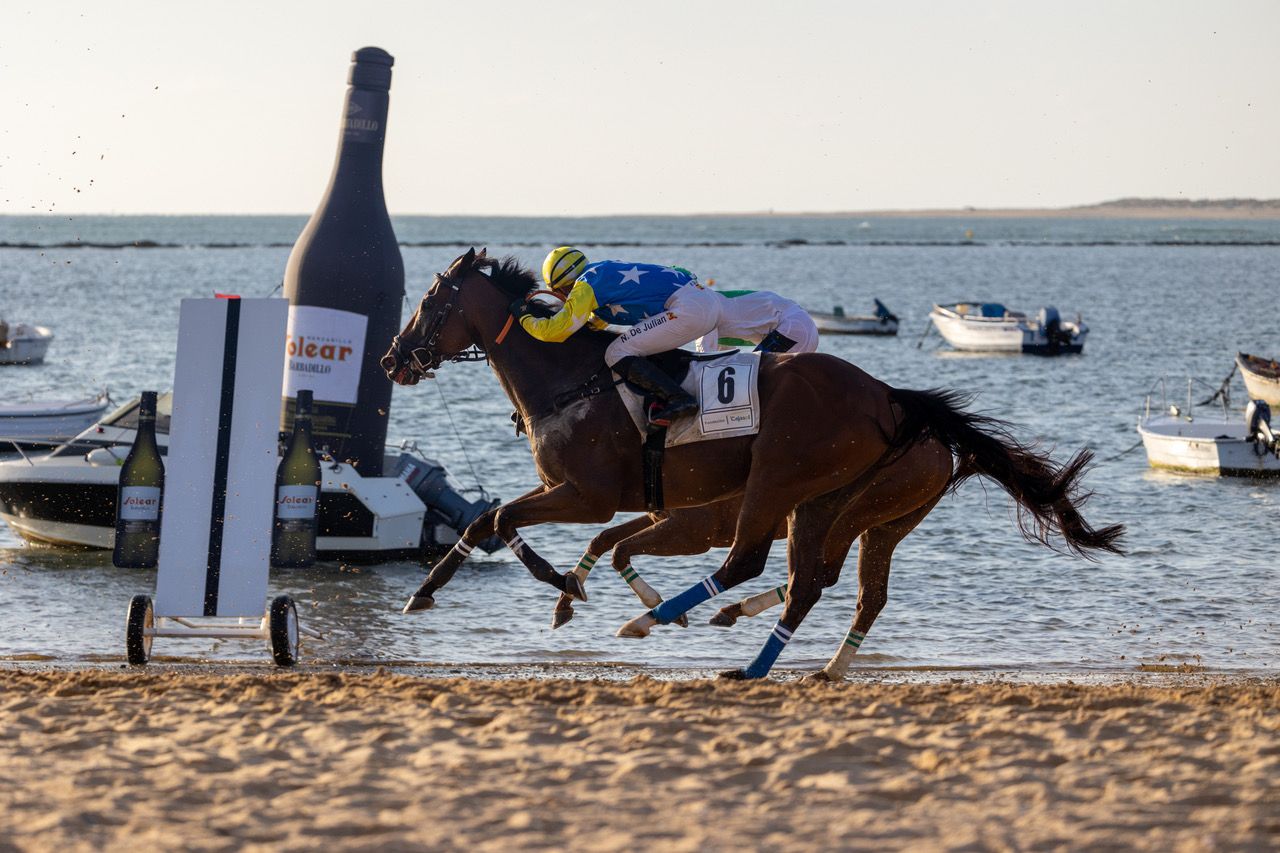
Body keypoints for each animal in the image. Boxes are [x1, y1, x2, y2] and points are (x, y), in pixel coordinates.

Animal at [376, 245, 1121, 676]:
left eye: (430, 301)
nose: (391, 358)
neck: (570, 378)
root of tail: (892, 400)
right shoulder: (608, 501)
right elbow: (507, 525)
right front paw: (467, 590)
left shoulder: (588, 493)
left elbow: (498, 521)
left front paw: (534, 585)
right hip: (841, 508)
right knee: (829, 585)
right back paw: (783, 659)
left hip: (781, 482)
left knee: (757, 565)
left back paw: (676, 626)